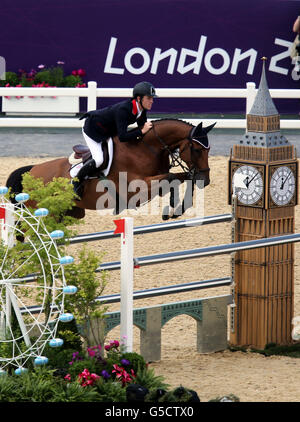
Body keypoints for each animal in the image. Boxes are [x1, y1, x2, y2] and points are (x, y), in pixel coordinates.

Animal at [5, 117, 214, 219]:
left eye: (208, 150)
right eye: (196, 150)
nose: (205, 180)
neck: (146, 149)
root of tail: (31, 171)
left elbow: (181, 177)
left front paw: (178, 209)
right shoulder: (135, 189)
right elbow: (171, 178)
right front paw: (171, 207)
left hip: (71, 213)